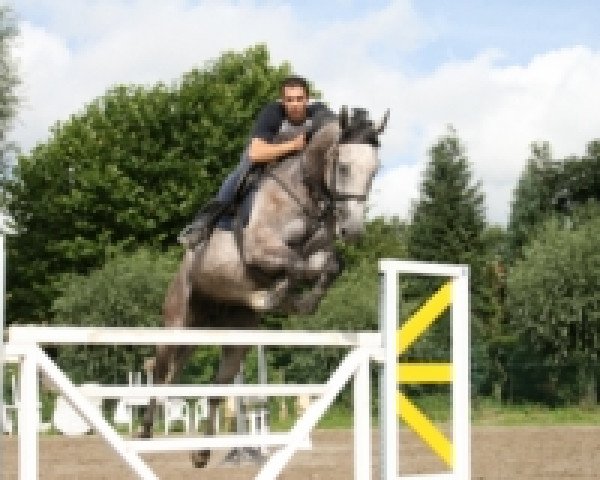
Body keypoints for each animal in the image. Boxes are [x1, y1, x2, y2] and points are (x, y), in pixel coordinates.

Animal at [142, 106, 390, 468]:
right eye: (343, 166)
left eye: (375, 170)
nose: (354, 231)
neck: (306, 193)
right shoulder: (260, 247)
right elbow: (295, 264)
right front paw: (283, 294)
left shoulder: (318, 251)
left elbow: (327, 266)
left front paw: (298, 300)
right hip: (176, 326)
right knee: (161, 374)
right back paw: (143, 434)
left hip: (234, 337)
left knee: (215, 388)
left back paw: (201, 453)